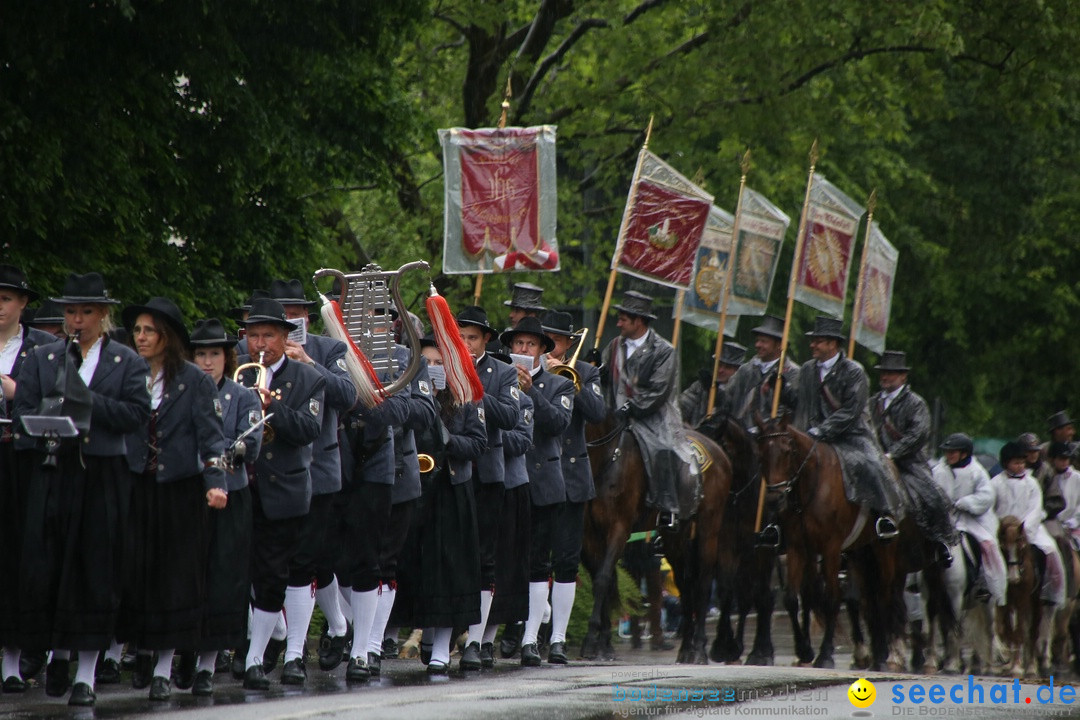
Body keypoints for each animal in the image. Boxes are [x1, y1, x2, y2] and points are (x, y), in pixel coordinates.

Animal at [583, 410, 734, 664]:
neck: (608, 456)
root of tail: (717, 449)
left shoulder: (619, 528)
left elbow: (603, 578)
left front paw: (593, 639)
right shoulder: (592, 536)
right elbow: (603, 579)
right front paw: (603, 644)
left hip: (708, 531)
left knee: (703, 584)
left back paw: (699, 648)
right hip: (676, 541)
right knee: (685, 586)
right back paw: (685, 649)